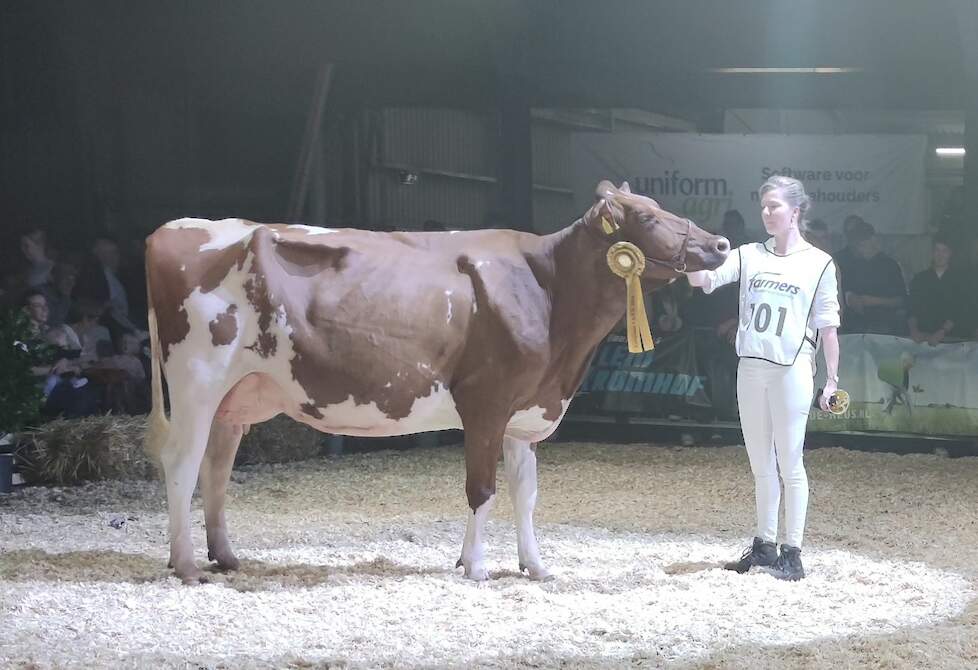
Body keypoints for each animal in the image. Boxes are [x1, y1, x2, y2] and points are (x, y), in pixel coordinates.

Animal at [145, 182, 724, 584]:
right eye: (646, 216)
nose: (719, 244)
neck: (549, 290)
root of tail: (170, 229)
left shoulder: (525, 410)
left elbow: (526, 494)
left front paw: (534, 566)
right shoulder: (486, 403)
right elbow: (482, 491)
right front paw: (478, 567)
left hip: (237, 394)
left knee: (217, 467)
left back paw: (225, 557)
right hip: (197, 379)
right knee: (181, 462)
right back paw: (185, 564)